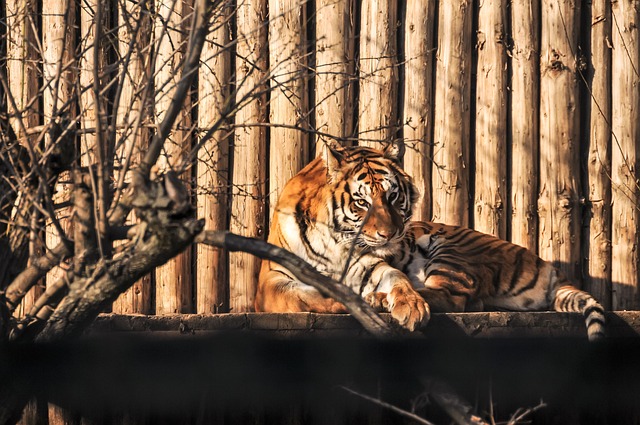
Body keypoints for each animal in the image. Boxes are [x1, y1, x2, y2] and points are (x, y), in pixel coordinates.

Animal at [255, 142, 604, 342]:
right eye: (362, 203)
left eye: (393, 197)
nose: (390, 234)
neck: (335, 240)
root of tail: (549, 266)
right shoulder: (273, 281)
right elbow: (308, 295)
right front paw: (354, 299)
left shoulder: (368, 265)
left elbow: (396, 278)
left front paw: (408, 305)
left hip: (452, 251)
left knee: (454, 297)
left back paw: (383, 299)